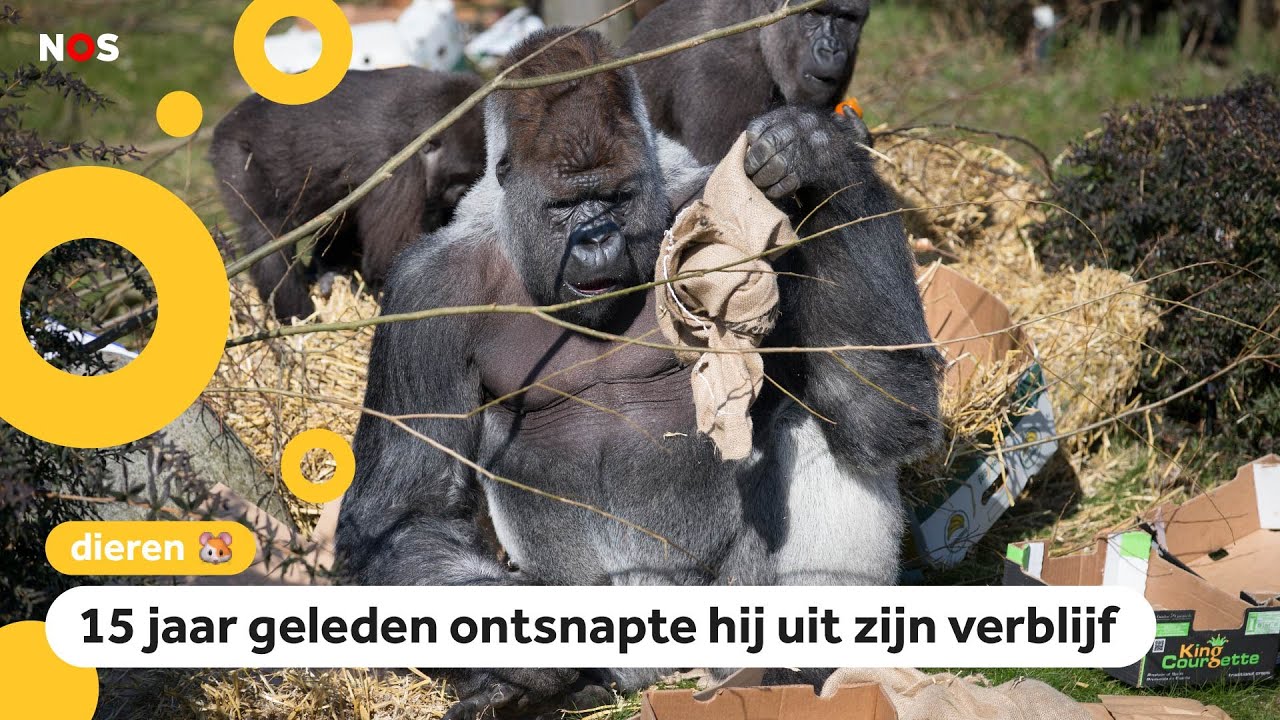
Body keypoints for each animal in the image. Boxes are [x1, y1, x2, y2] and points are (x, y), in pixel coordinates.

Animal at [210, 67, 485, 320]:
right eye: (460, 178)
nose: (463, 197)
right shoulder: (397, 166)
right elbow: (390, 260)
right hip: (234, 152)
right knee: (265, 236)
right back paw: (297, 317)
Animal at [335, 29, 940, 719]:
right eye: (567, 206)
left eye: (617, 198)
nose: (597, 238)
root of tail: (664, 676)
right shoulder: (423, 297)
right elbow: (407, 514)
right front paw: (520, 659)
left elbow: (879, 403)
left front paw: (818, 155)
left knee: (826, 429)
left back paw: (800, 670)